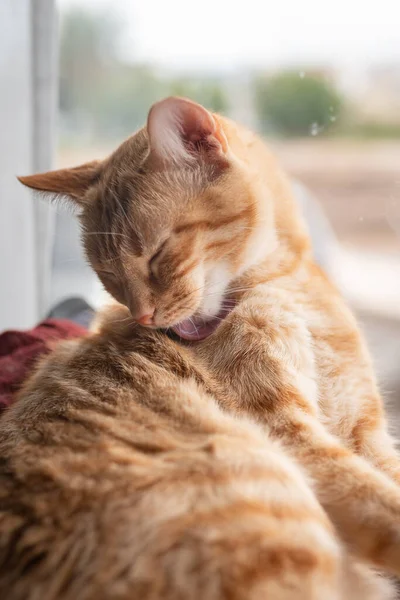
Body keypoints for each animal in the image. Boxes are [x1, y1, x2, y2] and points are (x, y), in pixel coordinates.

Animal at [11, 96, 400, 596]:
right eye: (109, 276)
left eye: (157, 256)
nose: (143, 316)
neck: (286, 285)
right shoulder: (294, 437)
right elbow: (377, 500)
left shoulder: (367, 433)